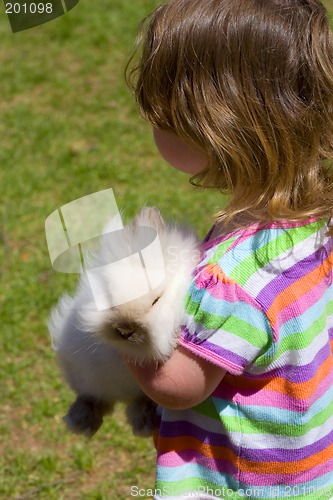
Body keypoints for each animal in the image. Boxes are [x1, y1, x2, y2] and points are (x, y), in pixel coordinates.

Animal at [48, 207, 200, 438]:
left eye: (156, 300)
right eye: (109, 295)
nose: (125, 330)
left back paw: (142, 423)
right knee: (92, 397)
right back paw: (81, 421)